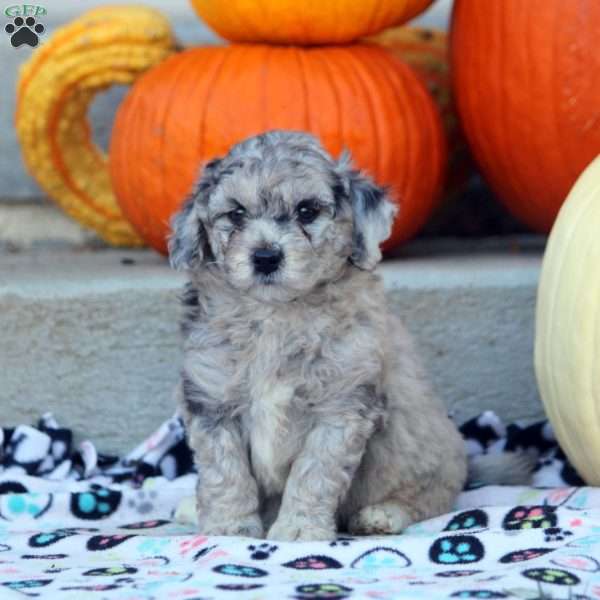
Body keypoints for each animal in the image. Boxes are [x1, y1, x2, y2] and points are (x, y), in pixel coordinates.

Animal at [168, 131, 468, 544]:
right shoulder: (212, 402)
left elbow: (314, 473)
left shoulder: (341, 407)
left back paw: (381, 516)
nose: (265, 256)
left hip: (432, 456)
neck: (275, 315)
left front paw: (298, 529)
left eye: (307, 211)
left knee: (427, 498)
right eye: (237, 214)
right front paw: (230, 527)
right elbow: (225, 472)